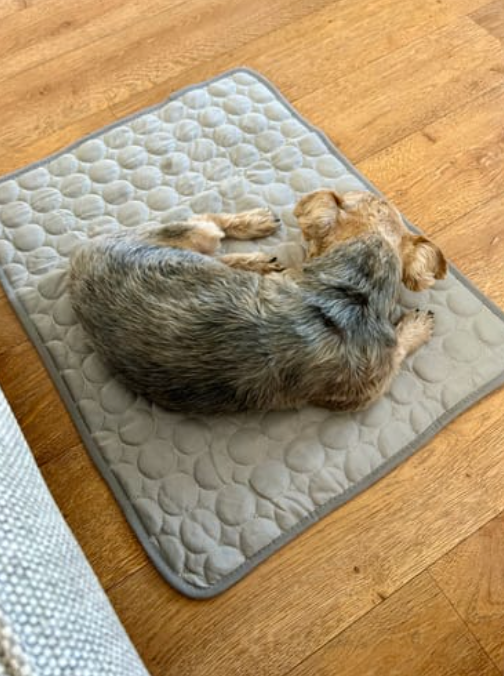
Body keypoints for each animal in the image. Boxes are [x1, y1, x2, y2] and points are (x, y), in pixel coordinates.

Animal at [69, 190, 447, 414]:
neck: (352, 287)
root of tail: (80, 256)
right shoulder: (368, 390)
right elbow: (399, 349)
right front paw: (416, 326)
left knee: (218, 254)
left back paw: (256, 261)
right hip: (186, 236)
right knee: (208, 223)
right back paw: (253, 224)